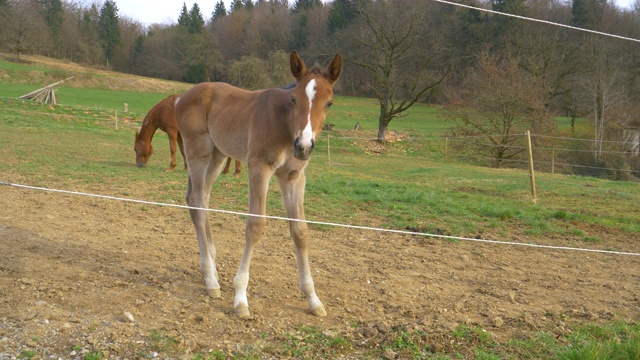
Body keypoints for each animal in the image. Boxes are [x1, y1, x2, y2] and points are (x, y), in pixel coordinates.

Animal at [175, 51, 342, 318]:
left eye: (329, 103)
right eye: (294, 99)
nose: (304, 146)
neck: (285, 125)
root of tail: (181, 97)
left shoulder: (293, 176)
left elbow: (300, 231)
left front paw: (313, 299)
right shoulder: (258, 168)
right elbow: (255, 225)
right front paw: (241, 297)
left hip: (218, 157)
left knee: (199, 198)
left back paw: (211, 265)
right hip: (198, 153)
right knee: (198, 203)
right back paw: (211, 279)